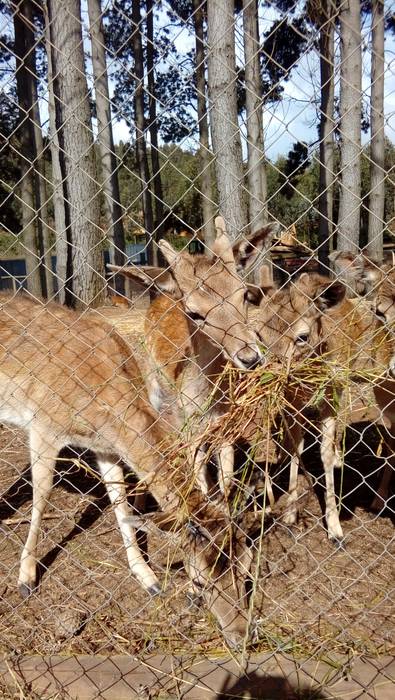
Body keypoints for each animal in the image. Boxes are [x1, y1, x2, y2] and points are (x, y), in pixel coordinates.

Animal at [0, 292, 256, 648]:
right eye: (200, 582)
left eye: (245, 569)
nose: (242, 636)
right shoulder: (44, 425)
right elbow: (42, 493)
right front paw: (26, 579)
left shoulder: (105, 446)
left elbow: (119, 499)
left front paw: (149, 579)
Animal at [108, 216, 276, 494]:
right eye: (194, 313)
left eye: (243, 294)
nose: (250, 357)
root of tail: (163, 295)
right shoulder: (188, 425)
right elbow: (202, 483)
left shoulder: (225, 423)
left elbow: (226, 480)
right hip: (154, 387)